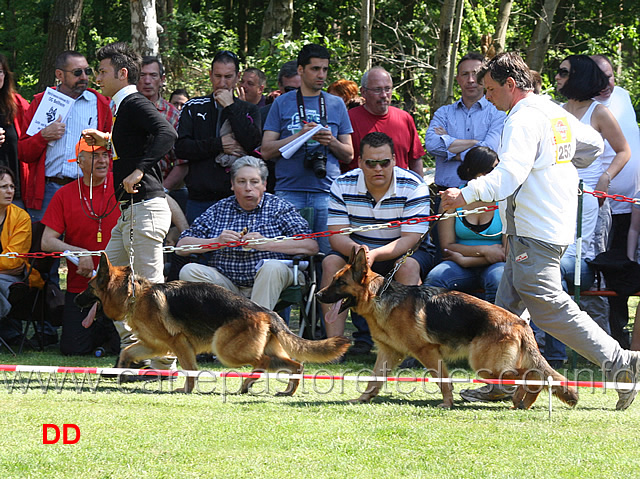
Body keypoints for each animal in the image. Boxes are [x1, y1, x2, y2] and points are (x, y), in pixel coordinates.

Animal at [77, 253, 352, 396]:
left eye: (88, 288)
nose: (74, 299)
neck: (135, 296)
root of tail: (267, 313)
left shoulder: (178, 343)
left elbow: (189, 369)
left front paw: (186, 389)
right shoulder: (154, 345)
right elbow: (126, 352)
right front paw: (121, 371)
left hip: (226, 350)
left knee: (263, 363)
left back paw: (246, 385)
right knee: (295, 364)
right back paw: (285, 391)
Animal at [316, 249, 580, 410]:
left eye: (339, 282)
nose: (318, 295)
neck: (380, 296)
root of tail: (520, 322)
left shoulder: (427, 352)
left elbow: (442, 380)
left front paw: (447, 403)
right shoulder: (389, 353)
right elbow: (374, 380)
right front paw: (362, 399)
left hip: (486, 366)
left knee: (533, 376)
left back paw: (521, 399)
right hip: (494, 366)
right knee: (535, 376)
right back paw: (522, 402)